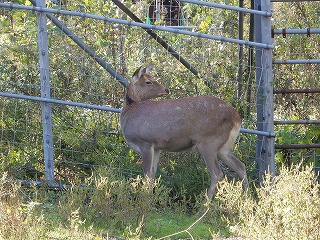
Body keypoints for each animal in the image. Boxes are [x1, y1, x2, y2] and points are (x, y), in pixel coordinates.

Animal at [120, 65, 248, 199]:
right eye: (148, 81)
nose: (166, 90)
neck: (129, 112)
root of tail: (237, 118)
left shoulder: (145, 142)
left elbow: (147, 174)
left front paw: (145, 198)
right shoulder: (157, 147)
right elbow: (152, 174)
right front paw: (151, 198)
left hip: (209, 142)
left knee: (217, 173)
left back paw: (205, 203)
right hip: (224, 147)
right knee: (241, 166)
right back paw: (246, 197)